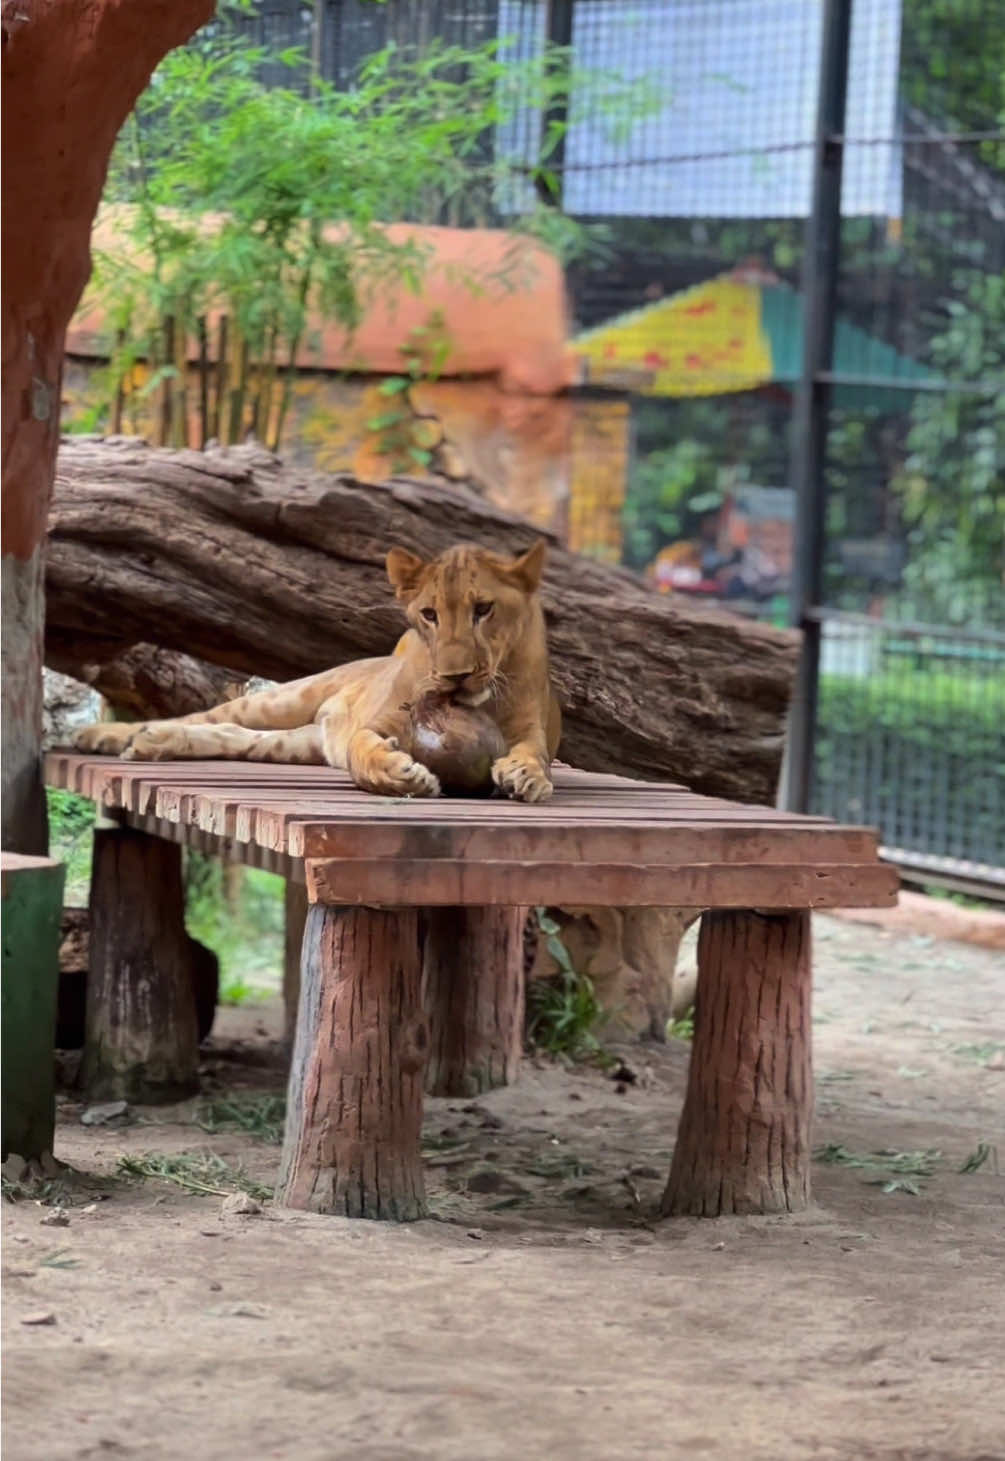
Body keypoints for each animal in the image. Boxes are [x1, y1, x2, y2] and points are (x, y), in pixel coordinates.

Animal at [74, 543, 560, 806]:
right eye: (429, 614)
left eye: (484, 609)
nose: (454, 676)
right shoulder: (379, 723)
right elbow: (364, 750)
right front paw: (399, 774)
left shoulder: (532, 730)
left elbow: (534, 754)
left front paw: (526, 776)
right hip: (286, 698)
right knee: (207, 717)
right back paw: (113, 737)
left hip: (295, 744)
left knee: (234, 735)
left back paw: (152, 744)